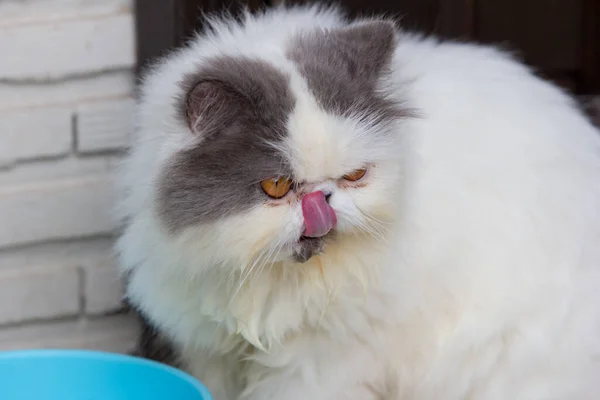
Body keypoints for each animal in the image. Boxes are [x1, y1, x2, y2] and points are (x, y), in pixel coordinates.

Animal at [116, 3, 600, 400]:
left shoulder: (317, 363)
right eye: (276, 186)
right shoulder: (210, 352)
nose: (323, 203)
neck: (271, 285)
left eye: (354, 177)